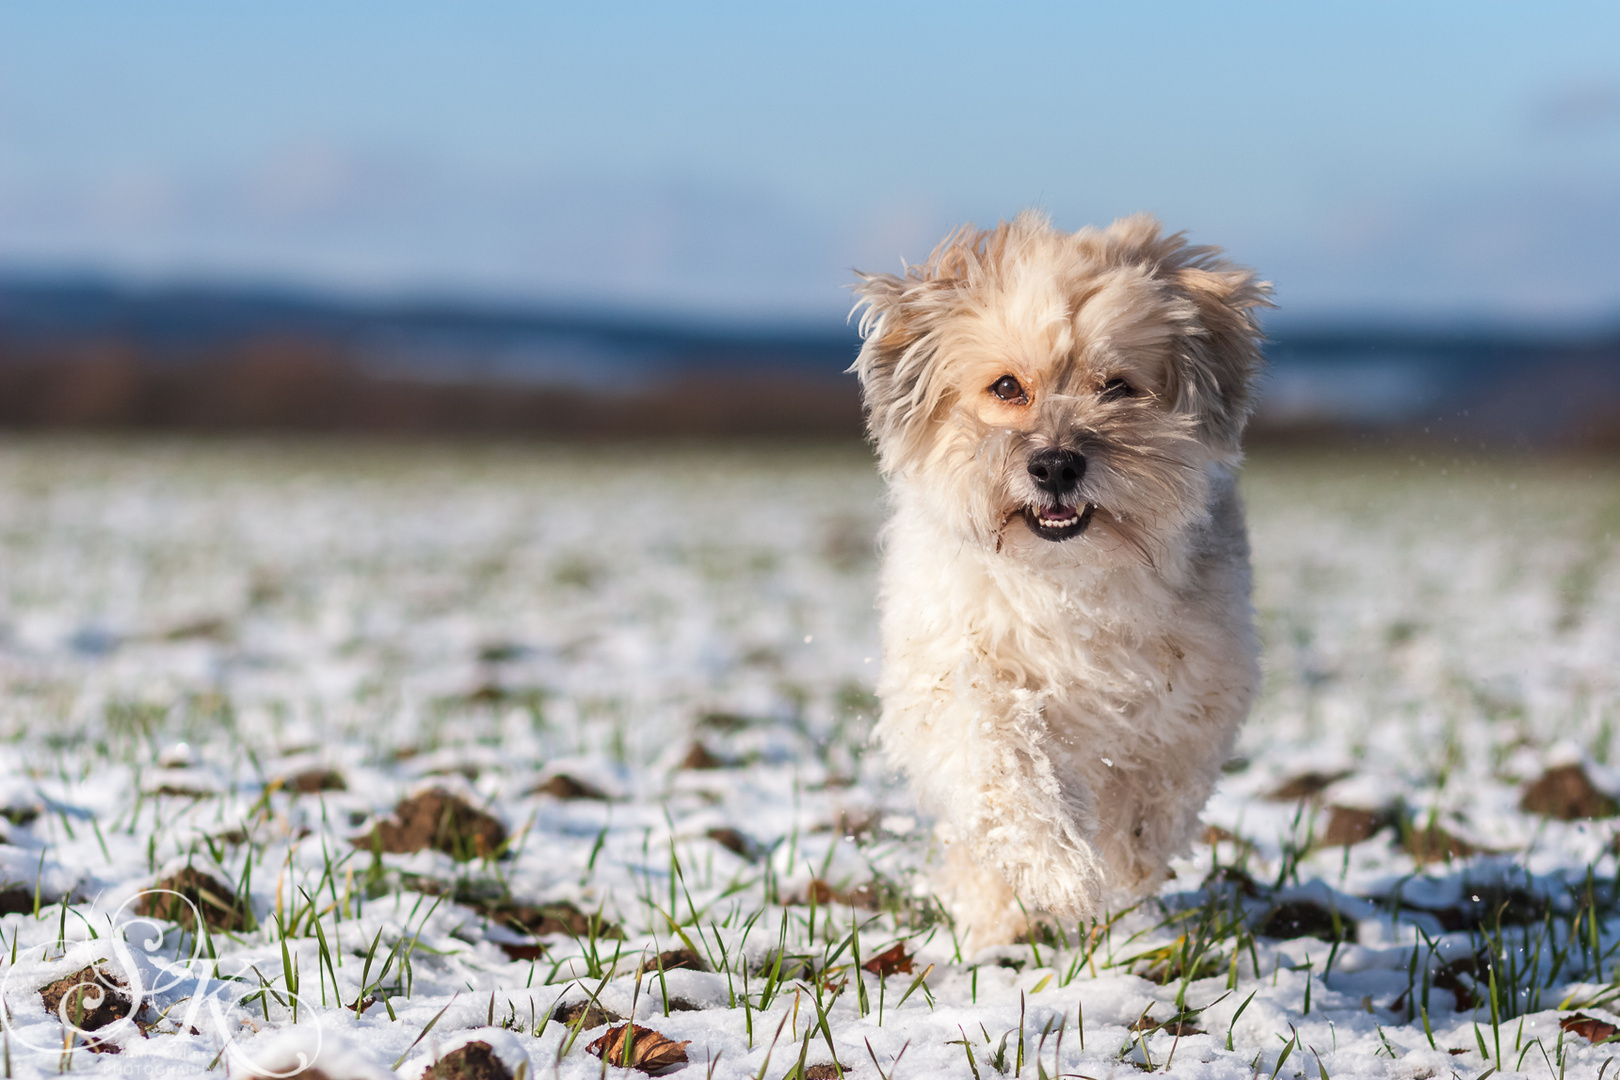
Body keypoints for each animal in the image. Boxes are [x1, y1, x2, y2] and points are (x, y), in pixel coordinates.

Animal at [848, 208, 1263, 945]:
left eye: (1118, 386)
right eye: (1007, 387)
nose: (1055, 465)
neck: (1067, 579)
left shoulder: (1201, 688)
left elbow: (1157, 791)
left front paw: (1126, 867)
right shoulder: (954, 669)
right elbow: (1000, 760)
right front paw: (1060, 874)